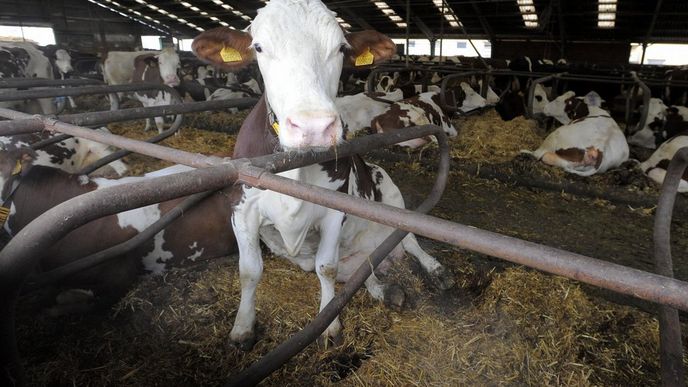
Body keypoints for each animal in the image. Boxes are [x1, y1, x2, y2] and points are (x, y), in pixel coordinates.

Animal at [191, 0, 454, 350]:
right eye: (258, 47)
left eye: (340, 48)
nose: (313, 127)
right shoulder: (241, 208)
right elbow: (249, 271)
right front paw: (242, 328)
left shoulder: (334, 210)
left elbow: (325, 267)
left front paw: (328, 326)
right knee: (364, 272)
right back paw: (388, 292)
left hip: (391, 193)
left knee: (410, 241)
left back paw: (437, 272)